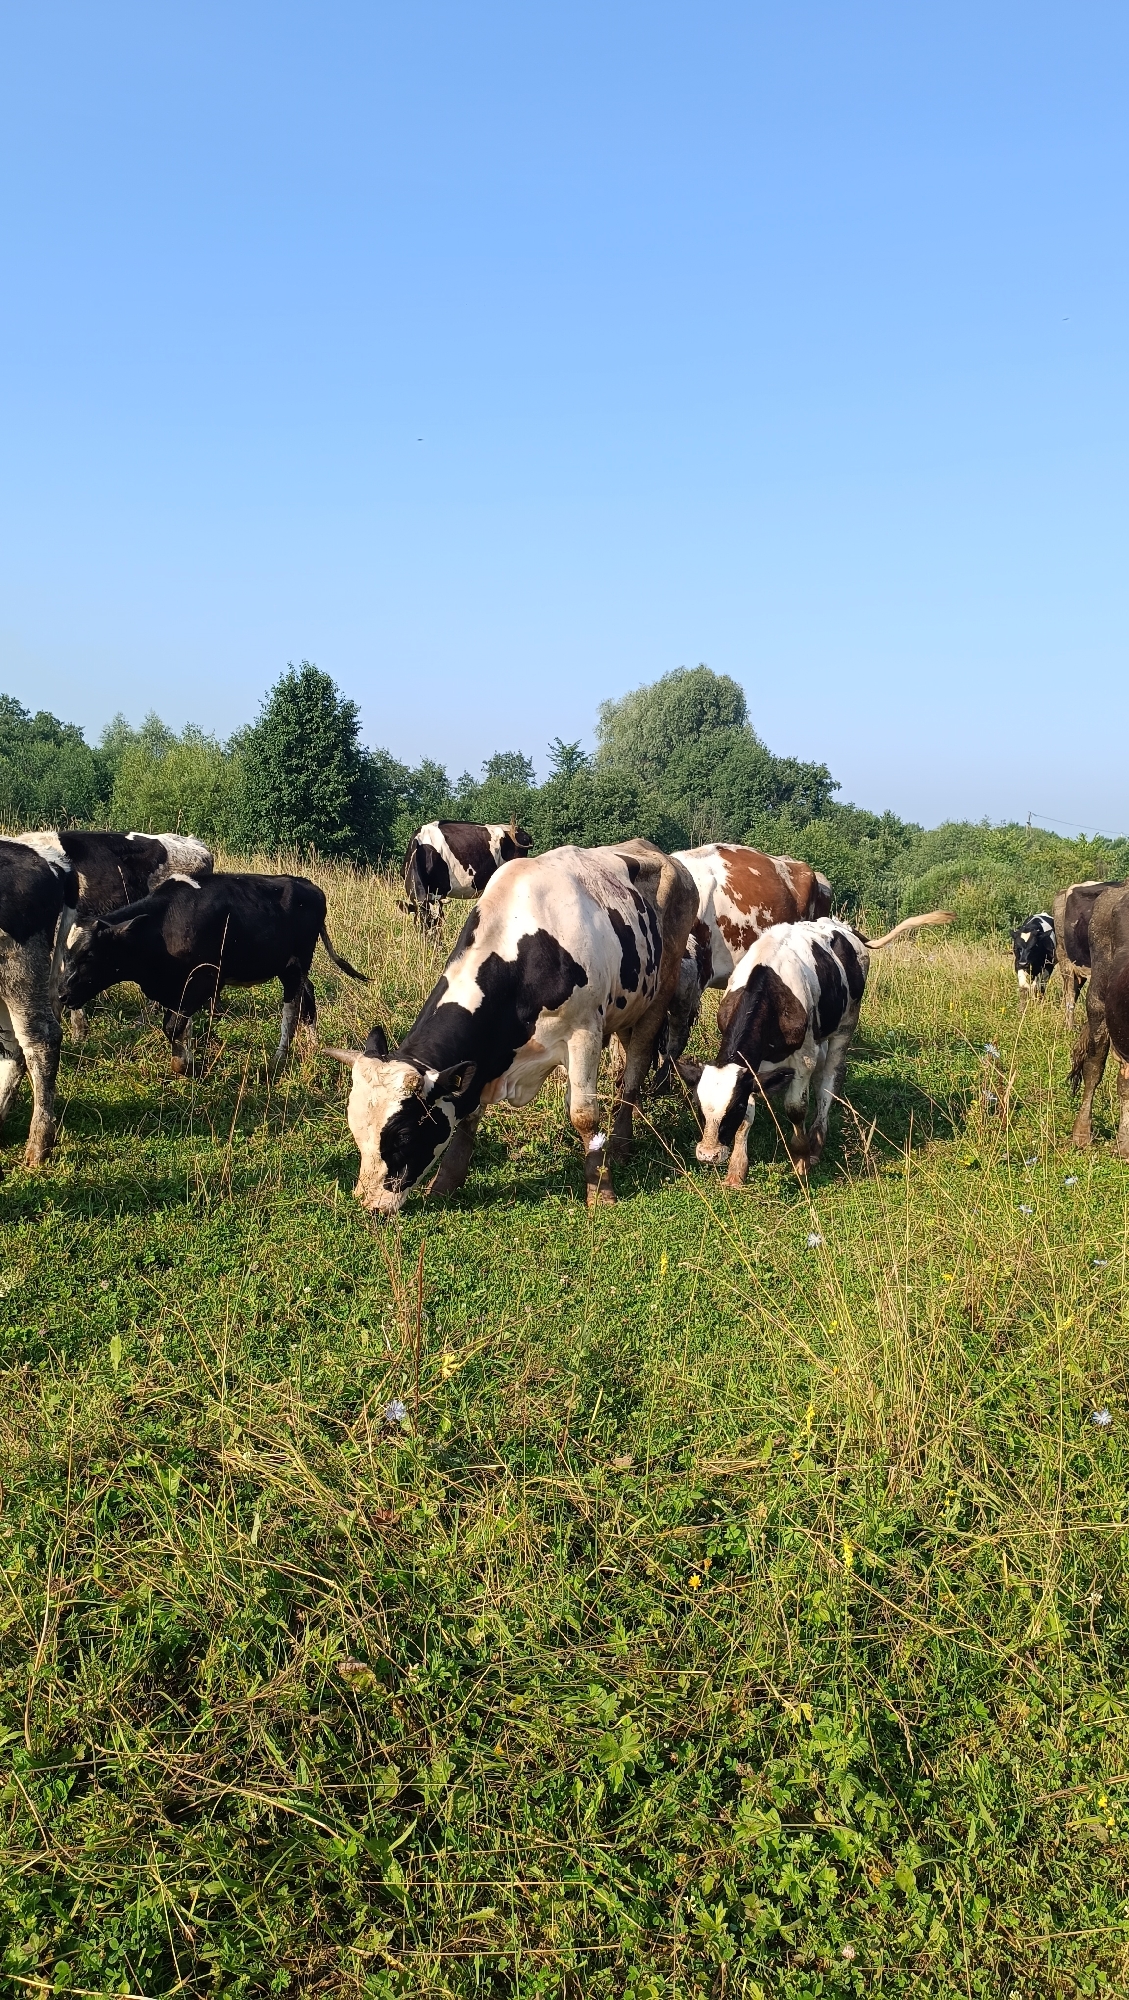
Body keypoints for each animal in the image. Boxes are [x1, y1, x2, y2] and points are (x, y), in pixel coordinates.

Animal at [57, 873, 366, 1073]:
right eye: (66, 955)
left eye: (89, 955)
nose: (62, 994)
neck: (162, 927)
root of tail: (308, 885)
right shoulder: (176, 987)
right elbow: (179, 1025)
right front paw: (189, 1058)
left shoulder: (206, 979)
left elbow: (173, 1026)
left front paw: (183, 1065)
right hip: (289, 966)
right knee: (308, 996)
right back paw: (313, 1045)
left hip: (297, 962)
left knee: (292, 1006)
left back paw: (280, 1057)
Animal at [327, 839, 698, 1214]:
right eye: (355, 1129)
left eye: (403, 1134)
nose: (370, 1204)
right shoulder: (483, 1062)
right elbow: (469, 1116)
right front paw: (445, 1183)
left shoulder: (584, 1032)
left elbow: (584, 1116)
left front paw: (600, 1190)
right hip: (628, 1003)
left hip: (659, 996)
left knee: (637, 1066)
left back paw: (620, 1144)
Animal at [677, 910, 953, 1186]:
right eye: (697, 1105)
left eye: (734, 1107)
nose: (708, 1154)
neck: (770, 984)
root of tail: (840, 925)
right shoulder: (751, 1065)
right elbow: (749, 1117)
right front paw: (737, 1169)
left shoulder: (804, 1059)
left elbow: (795, 1108)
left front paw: (801, 1159)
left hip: (846, 1023)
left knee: (829, 1082)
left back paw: (816, 1143)